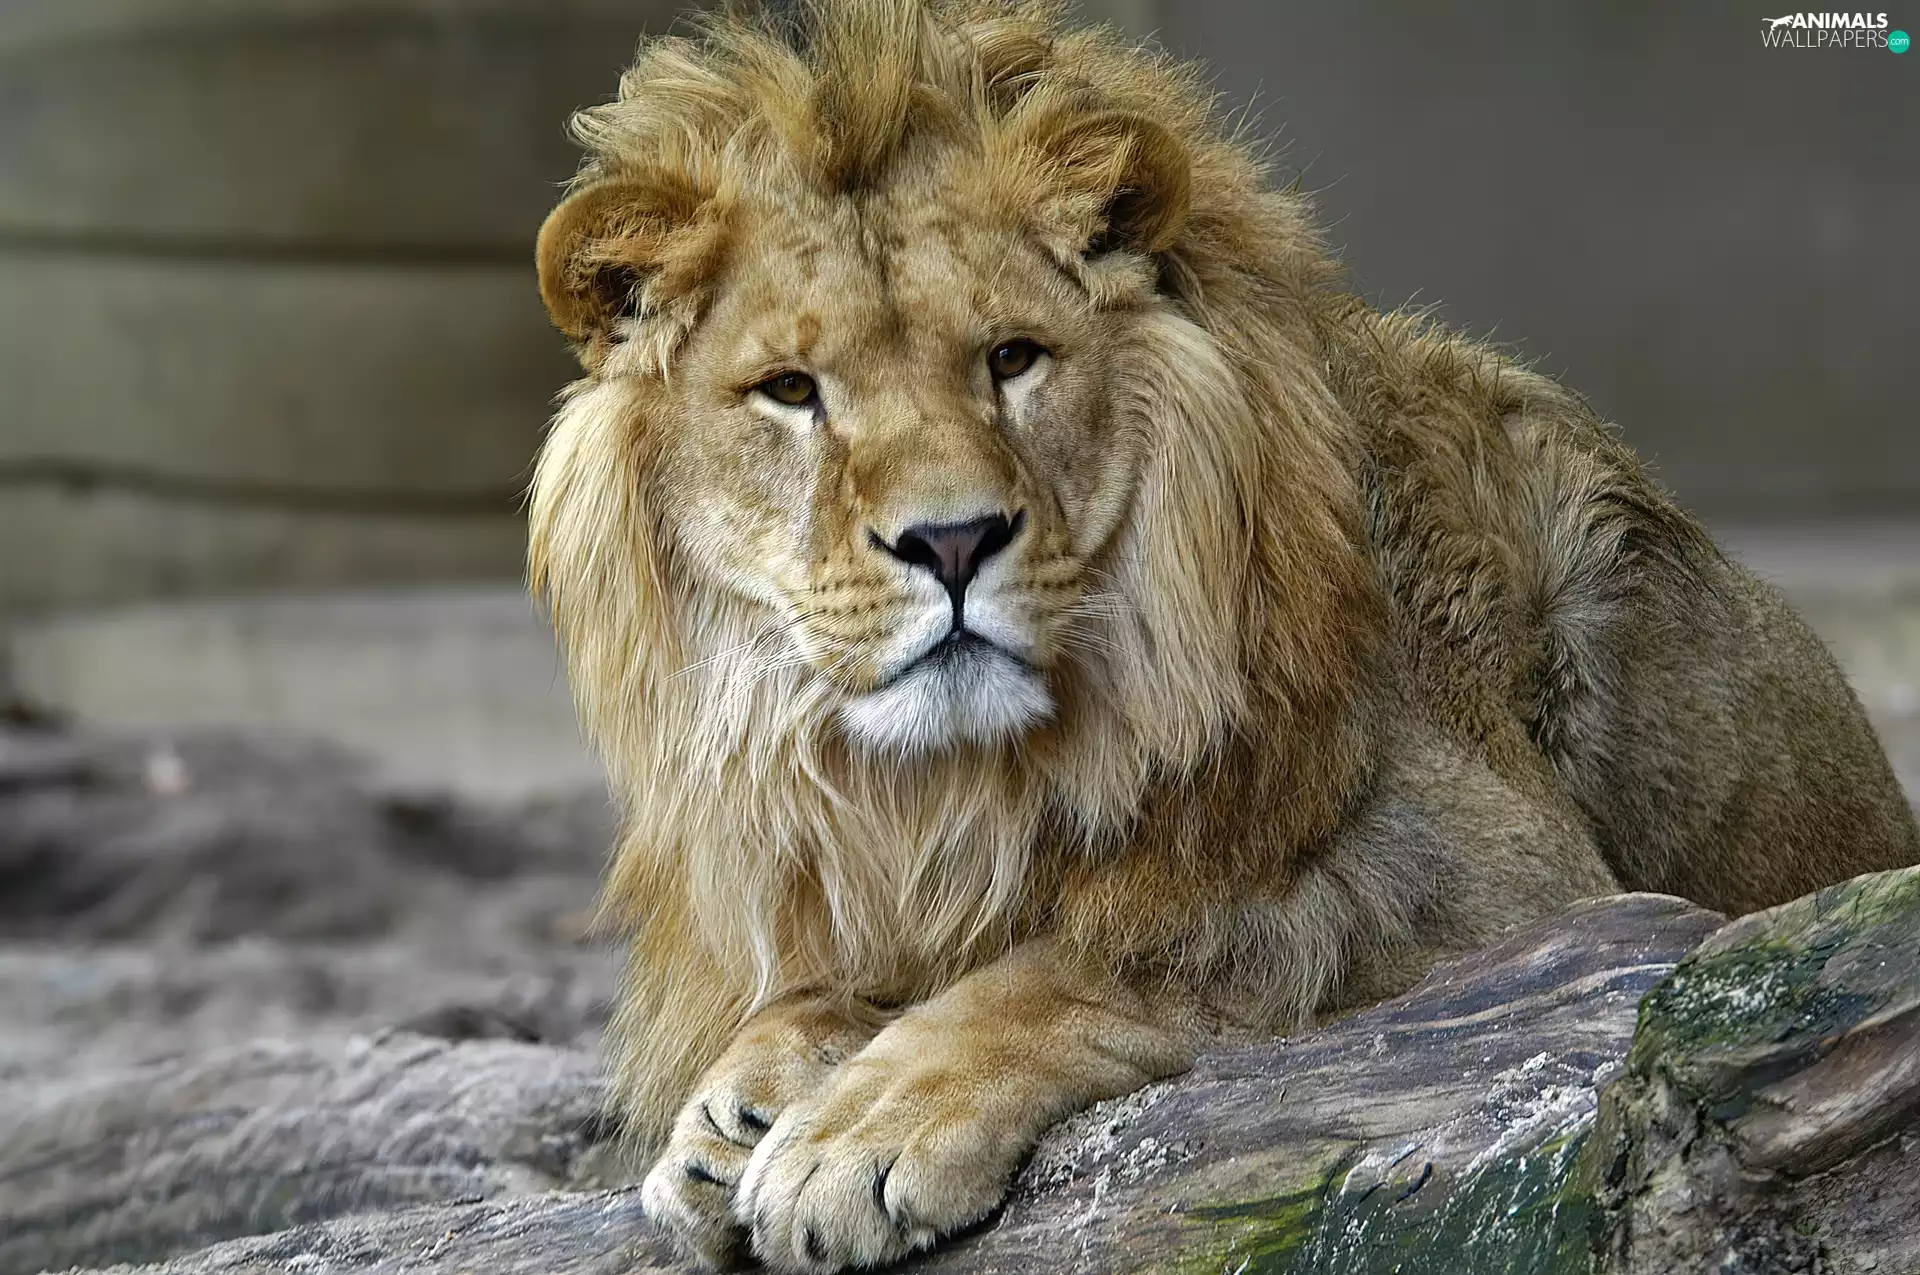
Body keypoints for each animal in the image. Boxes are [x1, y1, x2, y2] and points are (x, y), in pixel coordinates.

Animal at [525, 2, 1920, 1270]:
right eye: (790, 392)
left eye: (1013, 359)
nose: (955, 542)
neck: (954, 778)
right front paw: (734, 1109)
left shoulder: (1533, 892)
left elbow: (1118, 952)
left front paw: (857, 1127)